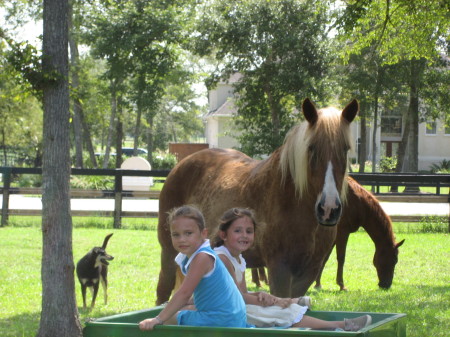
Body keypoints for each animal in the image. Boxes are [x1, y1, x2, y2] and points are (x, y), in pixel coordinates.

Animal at [156, 98, 358, 302]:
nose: (328, 209)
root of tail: (180, 165)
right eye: (311, 148)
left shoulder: (308, 272)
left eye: (345, 149)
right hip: (169, 253)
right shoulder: (279, 269)